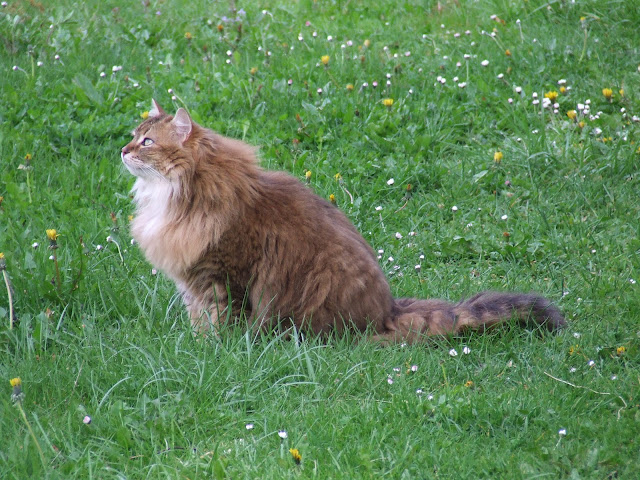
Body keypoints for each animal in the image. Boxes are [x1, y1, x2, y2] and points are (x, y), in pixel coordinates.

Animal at [121, 99, 564, 344]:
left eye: (147, 141)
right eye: (133, 135)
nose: (123, 150)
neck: (177, 196)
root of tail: (387, 311)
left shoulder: (221, 276)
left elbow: (217, 324)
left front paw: (210, 352)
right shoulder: (194, 281)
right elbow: (197, 320)